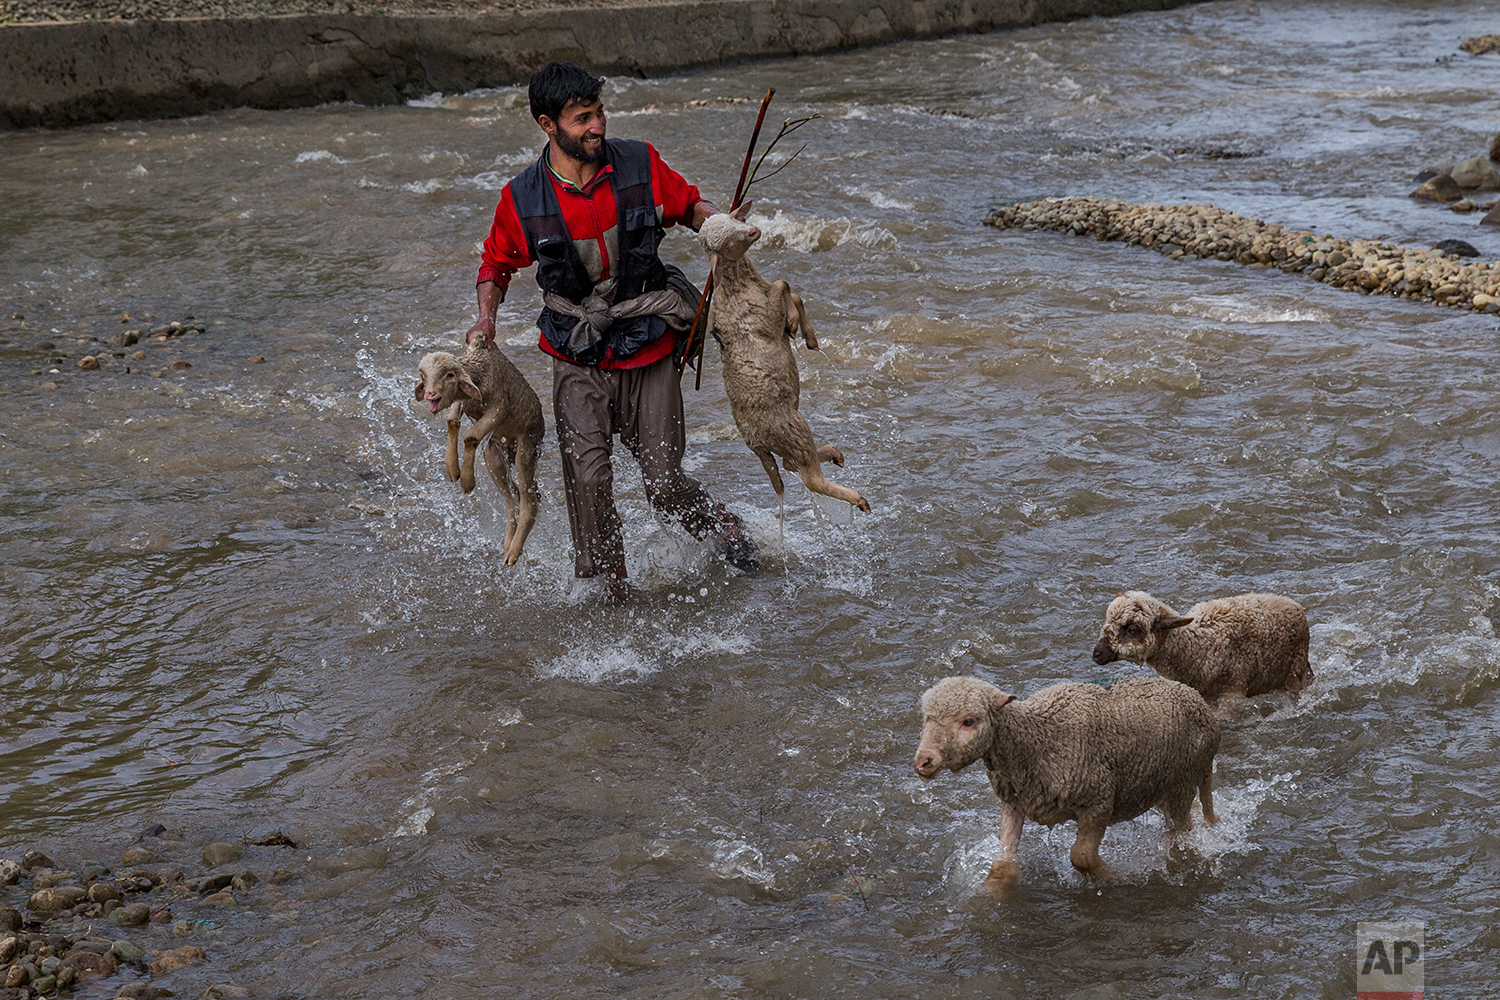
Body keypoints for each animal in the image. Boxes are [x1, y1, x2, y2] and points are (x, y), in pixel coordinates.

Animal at [417, 341, 546, 563]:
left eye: (450, 375)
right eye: (423, 376)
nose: (430, 395)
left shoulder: (499, 406)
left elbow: (471, 437)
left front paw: (468, 481)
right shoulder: (465, 402)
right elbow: (452, 422)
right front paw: (453, 469)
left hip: (527, 447)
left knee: (527, 500)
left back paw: (514, 551)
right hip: (494, 455)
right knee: (513, 498)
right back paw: (507, 544)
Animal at [699, 203, 876, 515]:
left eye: (734, 219)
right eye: (728, 243)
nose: (753, 231)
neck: (740, 282)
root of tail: (753, 440)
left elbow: (793, 292)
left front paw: (807, 336)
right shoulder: (766, 311)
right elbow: (784, 284)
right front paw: (794, 324)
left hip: (784, 440)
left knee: (789, 464)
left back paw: (834, 454)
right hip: (794, 429)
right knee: (810, 478)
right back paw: (857, 498)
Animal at [912, 677, 1218, 881]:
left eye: (968, 721)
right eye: (926, 719)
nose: (923, 761)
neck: (1035, 739)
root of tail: (1197, 700)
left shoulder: (1098, 802)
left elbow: (1081, 857)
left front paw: (1115, 875)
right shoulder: (1014, 802)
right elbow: (1004, 860)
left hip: (1182, 782)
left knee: (1182, 832)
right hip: (1159, 785)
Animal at [1092, 590, 1314, 707]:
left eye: (1131, 629)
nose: (1096, 653)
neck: (1196, 647)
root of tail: (1294, 604)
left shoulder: (1232, 693)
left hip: (1295, 671)